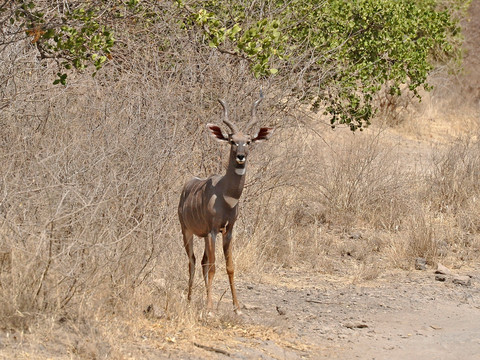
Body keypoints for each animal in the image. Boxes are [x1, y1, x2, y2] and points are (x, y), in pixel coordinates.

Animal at [177, 94, 274, 314]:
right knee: (192, 261)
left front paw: (237, 307)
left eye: (248, 141)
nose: (241, 156)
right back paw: (190, 299)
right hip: (187, 230)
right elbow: (214, 266)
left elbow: (229, 266)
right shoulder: (214, 229)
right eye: (232, 141)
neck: (226, 196)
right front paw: (210, 308)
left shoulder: (227, 230)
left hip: (204, 235)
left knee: (202, 261)